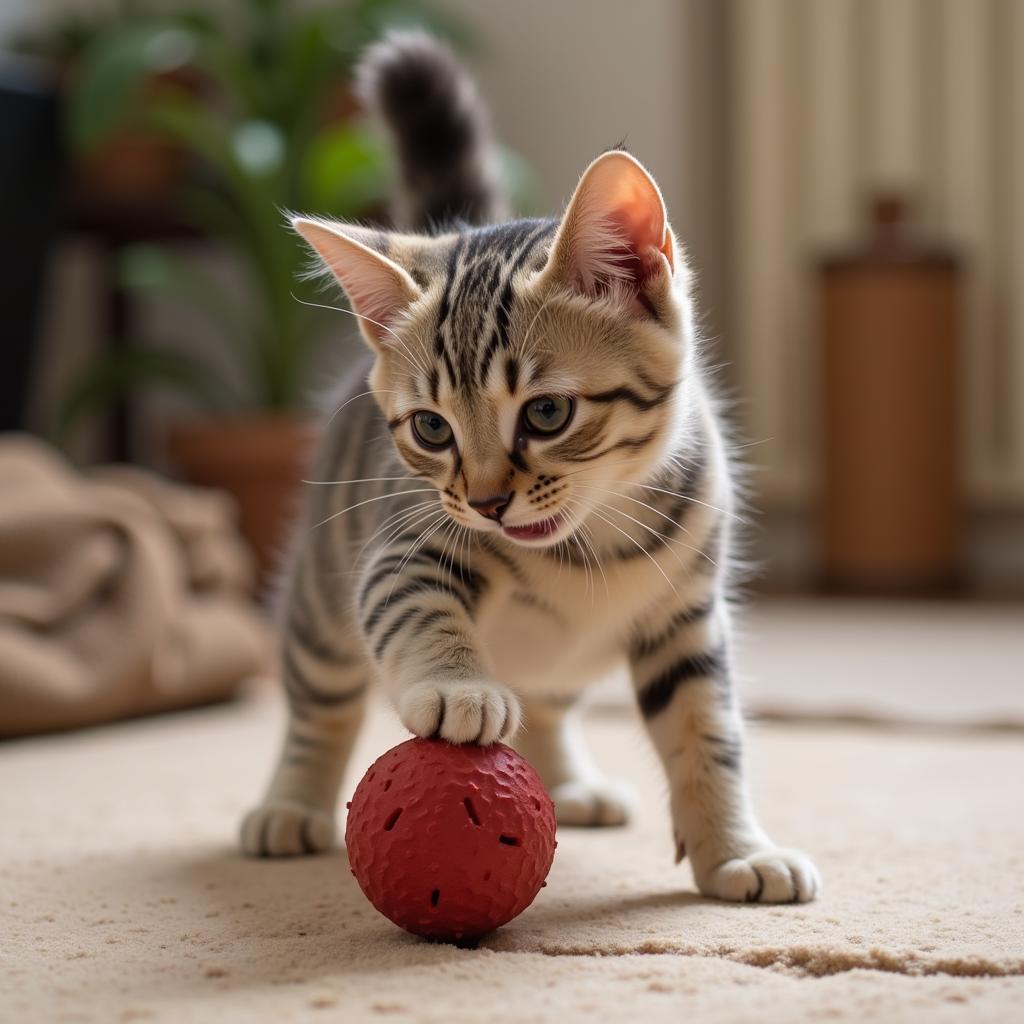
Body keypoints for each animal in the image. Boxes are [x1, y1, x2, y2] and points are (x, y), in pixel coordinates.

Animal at [237, 29, 815, 905]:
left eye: (546, 415)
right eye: (432, 428)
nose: (484, 502)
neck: (588, 548)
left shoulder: (687, 618)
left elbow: (708, 732)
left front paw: (737, 851)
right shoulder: (403, 545)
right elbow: (417, 610)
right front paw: (458, 688)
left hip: (568, 663)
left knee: (547, 702)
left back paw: (569, 783)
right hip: (319, 601)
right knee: (320, 704)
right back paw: (289, 804)